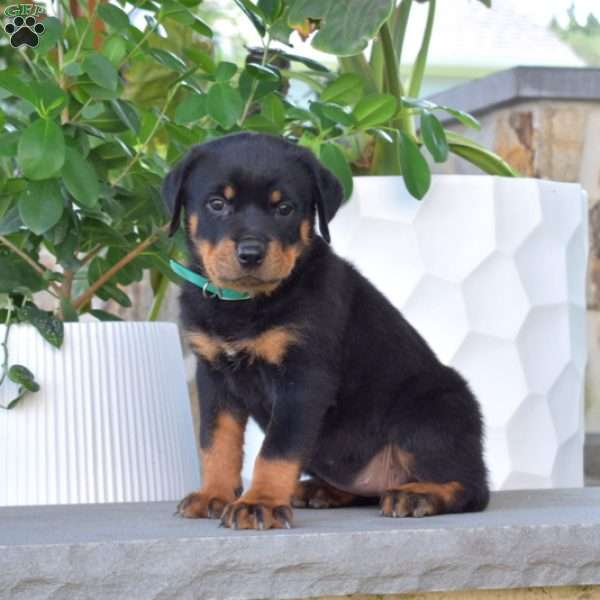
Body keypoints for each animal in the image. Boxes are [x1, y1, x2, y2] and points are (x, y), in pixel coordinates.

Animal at [163, 132, 488, 528]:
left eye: (284, 208)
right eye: (216, 204)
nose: (251, 253)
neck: (245, 303)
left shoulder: (304, 376)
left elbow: (277, 448)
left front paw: (261, 503)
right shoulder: (213, 375)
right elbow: (215, 442)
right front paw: (213, 494)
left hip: (431, 411)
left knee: (471, 486)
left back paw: (418, 495)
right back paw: (319, 490)